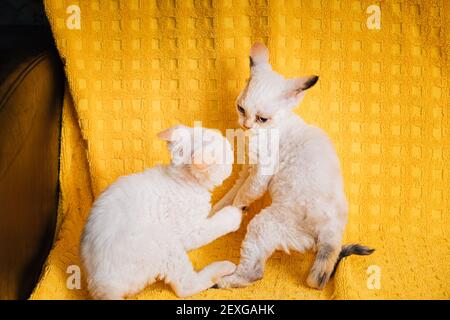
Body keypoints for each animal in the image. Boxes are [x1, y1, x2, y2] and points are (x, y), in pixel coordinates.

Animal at [81, 125, 243, 300]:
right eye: (227, 151)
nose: (233, 150)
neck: (181, 180)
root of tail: (101, 286)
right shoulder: (192, 230)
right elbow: (216, 224)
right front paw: (234, 215)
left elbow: (214, 210)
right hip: (165, 245)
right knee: (185, 286)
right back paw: (222, 268)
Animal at [214, 43, 372, 290]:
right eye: (240, 109)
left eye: (262, 119)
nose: (246, 125)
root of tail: (332, 236)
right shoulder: (246, 170)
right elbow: (231, 195)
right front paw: (217, 213)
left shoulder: (260, 172)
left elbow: (244, 195)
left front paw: (236, 211)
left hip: (265, 223)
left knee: (254, 273)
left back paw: (223, 281)